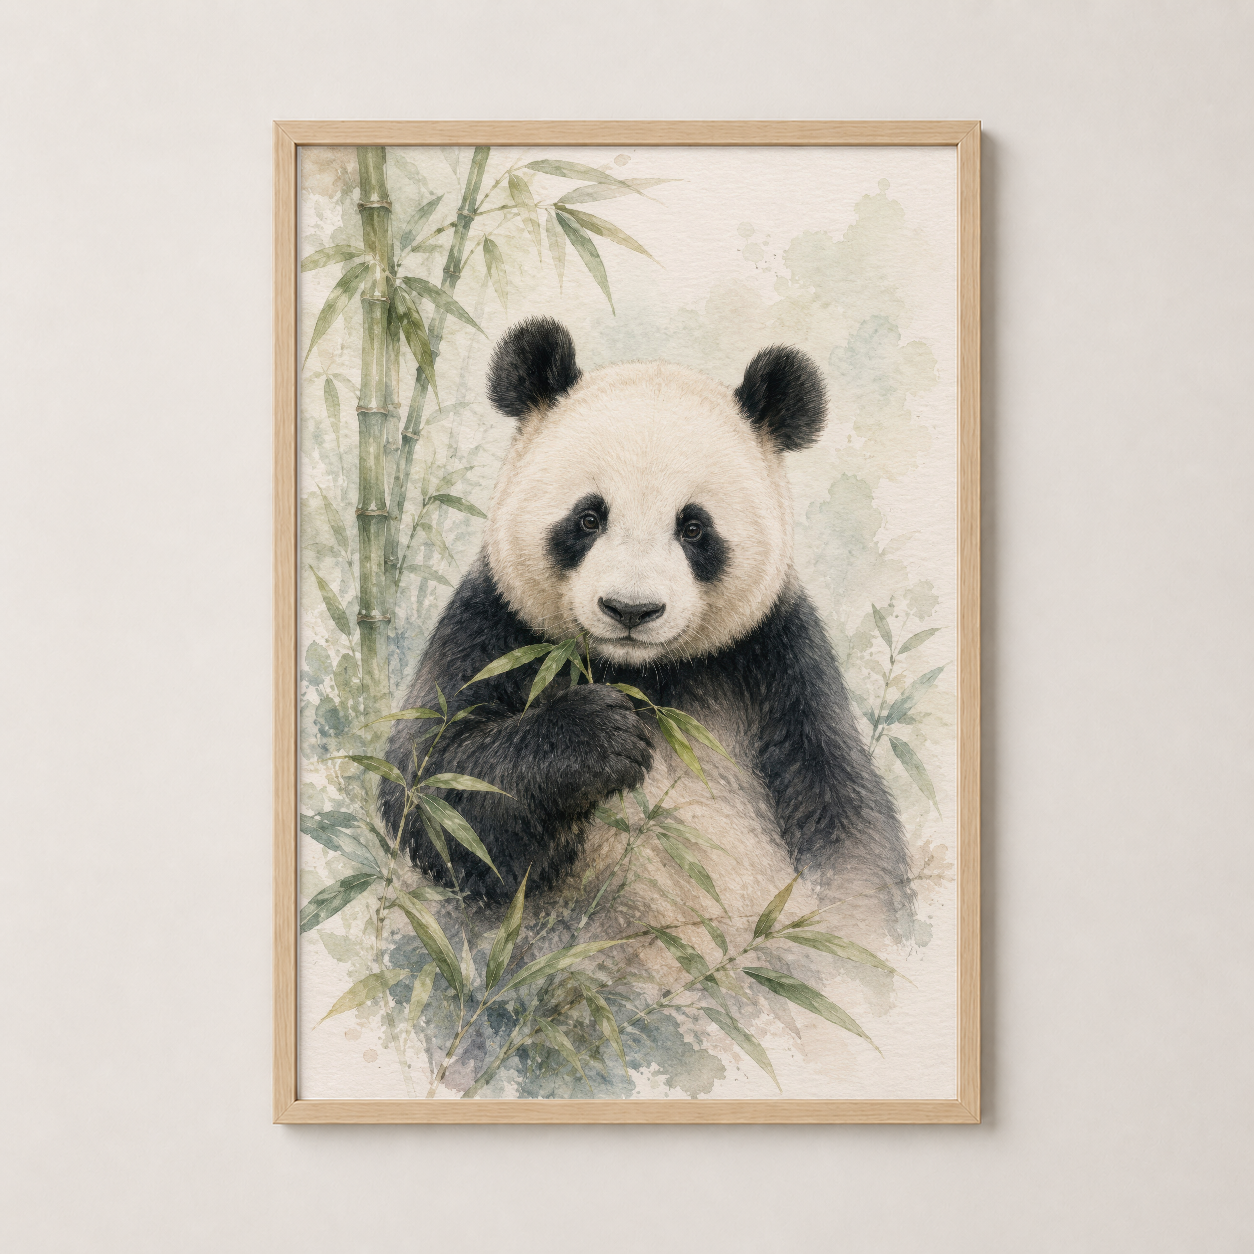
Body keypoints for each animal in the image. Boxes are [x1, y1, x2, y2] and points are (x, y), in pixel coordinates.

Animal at [379, 316, 914, 954]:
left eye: (694, 528)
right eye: (588, 518)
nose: (631, 609)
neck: (642, 673)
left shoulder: (777, 656)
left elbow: (845, 820)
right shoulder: (496, 626)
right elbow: (434, 790)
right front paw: (599, 734)